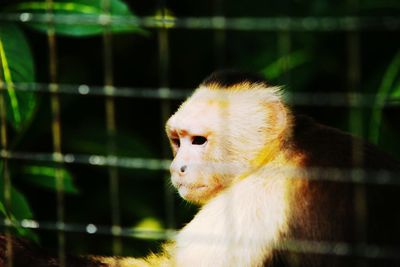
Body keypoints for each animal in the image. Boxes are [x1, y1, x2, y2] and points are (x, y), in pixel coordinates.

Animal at [0, 70, 400, 266]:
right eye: (177, 141)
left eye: (198, 141)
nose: (176, 167)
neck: (272, 156)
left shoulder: (256, 202)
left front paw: (19, 252)